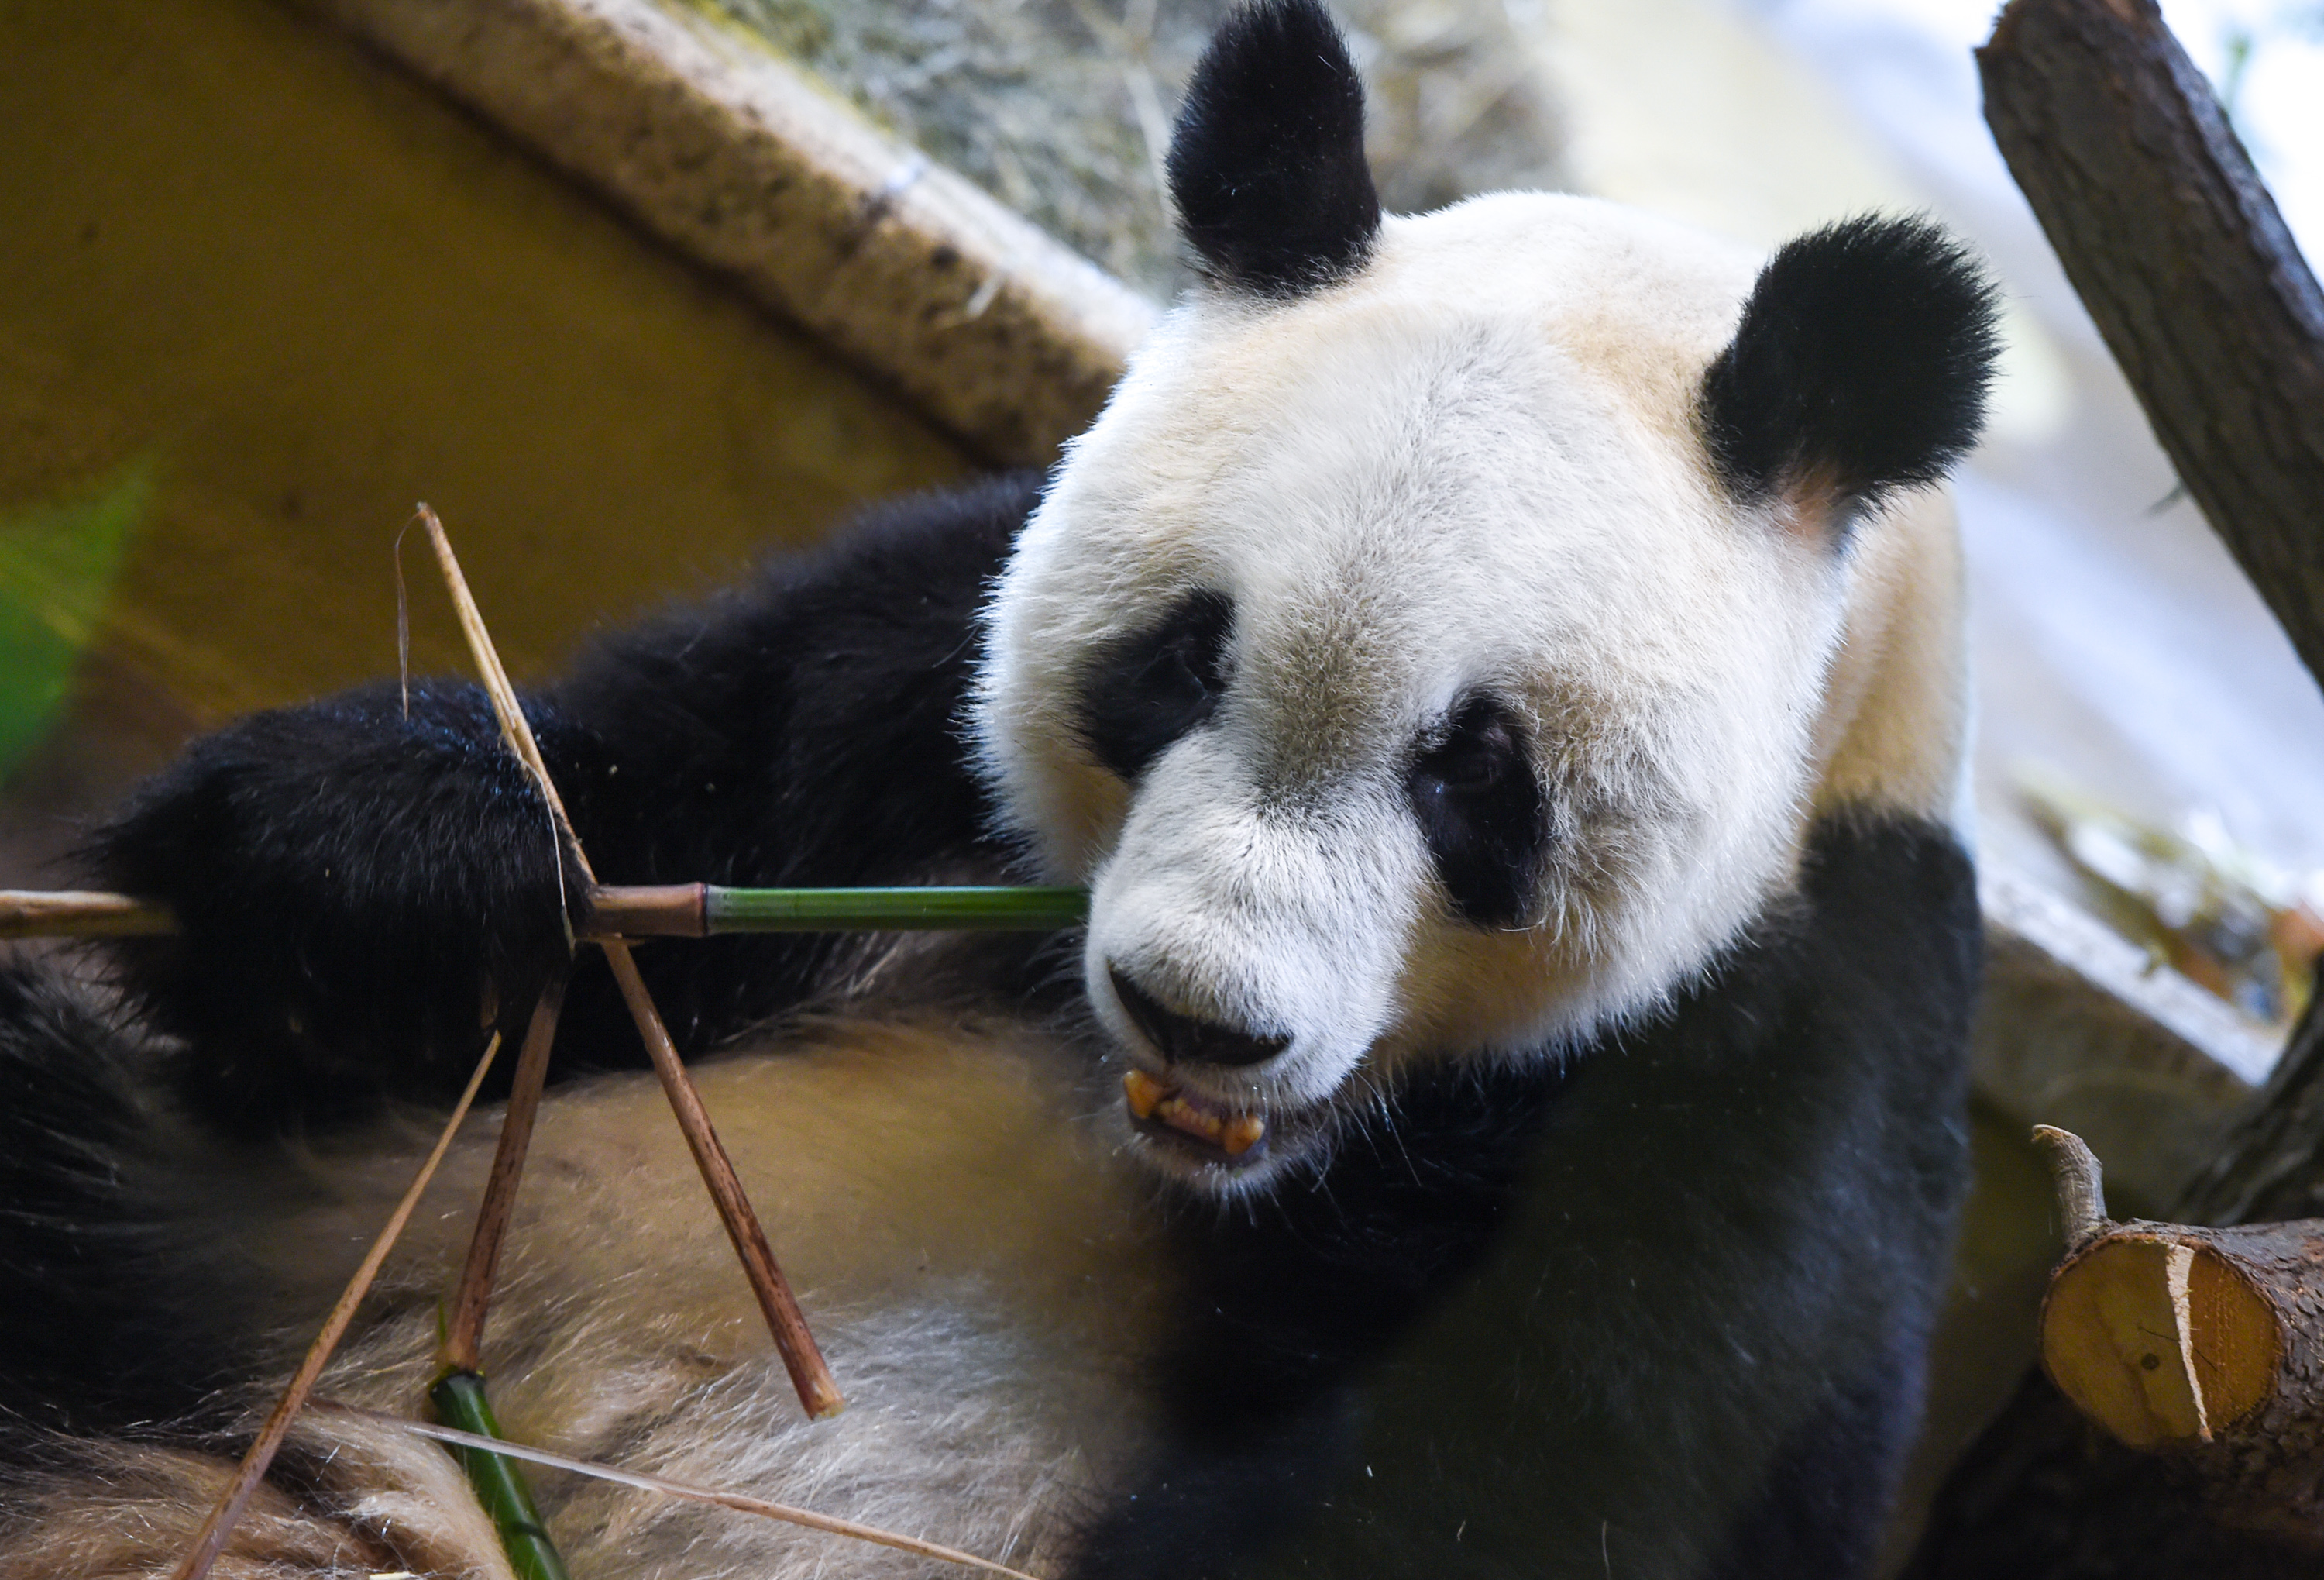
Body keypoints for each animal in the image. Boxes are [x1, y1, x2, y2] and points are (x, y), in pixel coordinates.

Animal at [0, 2, 1999, 1580]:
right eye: (1180, 663)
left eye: (1476, 775)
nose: (1197, 1012)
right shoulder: (911, 671)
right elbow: (665, 787)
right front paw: (384, 889)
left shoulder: (1777, 1066)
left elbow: (1522, 1485)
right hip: (233, 1242)